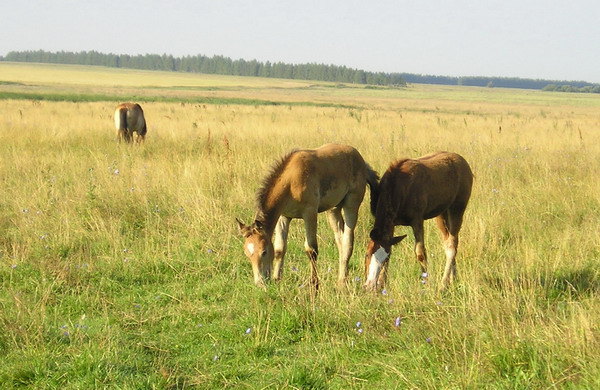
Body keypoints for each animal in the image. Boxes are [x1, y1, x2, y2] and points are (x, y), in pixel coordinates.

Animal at [237, 143, 378, 290]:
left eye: (263, 251)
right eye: (247, 253)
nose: (260, 283)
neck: (291, 181)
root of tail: (362, 162)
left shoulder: (309, 213)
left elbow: (311, 249)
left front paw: (314, 284)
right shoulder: (284, 217)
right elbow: (280, 248)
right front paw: (277, 279)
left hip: (351, 204)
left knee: (348, 240)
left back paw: (342, 283)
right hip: (333, 210)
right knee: (340, 239)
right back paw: (341, 278)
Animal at [360, 151, 474, 290]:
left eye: (384, 259)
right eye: (367, 254)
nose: (369, 286)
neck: (399, 185)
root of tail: (463, 162)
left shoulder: (417, 221)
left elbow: (420, 253)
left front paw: (427, 282)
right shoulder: (392, 224)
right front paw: (382, 285)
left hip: (457, 209)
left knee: (452, 245)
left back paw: (443, 284)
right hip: (442, 214)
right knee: (449, 241)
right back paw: (453, 279)